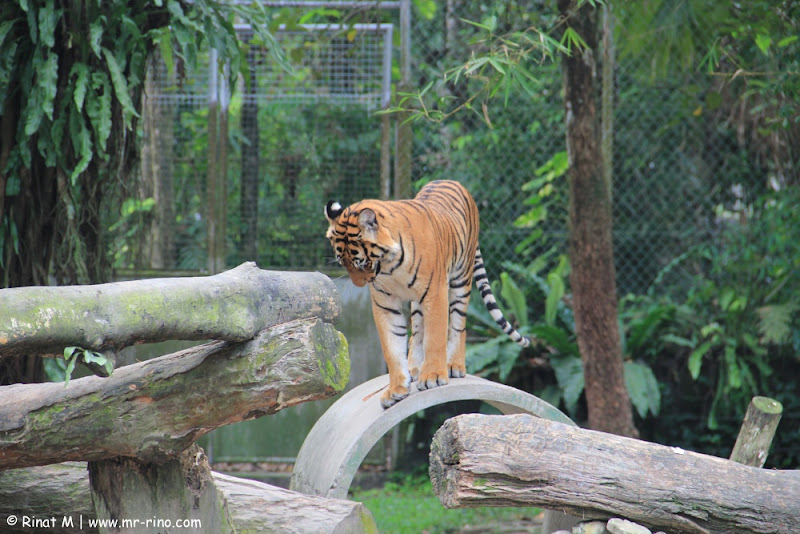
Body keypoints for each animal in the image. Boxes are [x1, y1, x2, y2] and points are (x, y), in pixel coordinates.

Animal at [324, 180, 532, 410]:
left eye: (361, 263)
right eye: (343, 264)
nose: (359, 284)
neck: (389, 267)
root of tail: (451, 181)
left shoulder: (435, 293)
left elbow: (435, 337)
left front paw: (433, 376)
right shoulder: (385, 305)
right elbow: (392, 347)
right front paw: (397, 388)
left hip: (461, 280)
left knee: (458, 325)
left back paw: (454, 365)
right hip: (417, 303)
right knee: (417, 332)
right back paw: (414, 368)